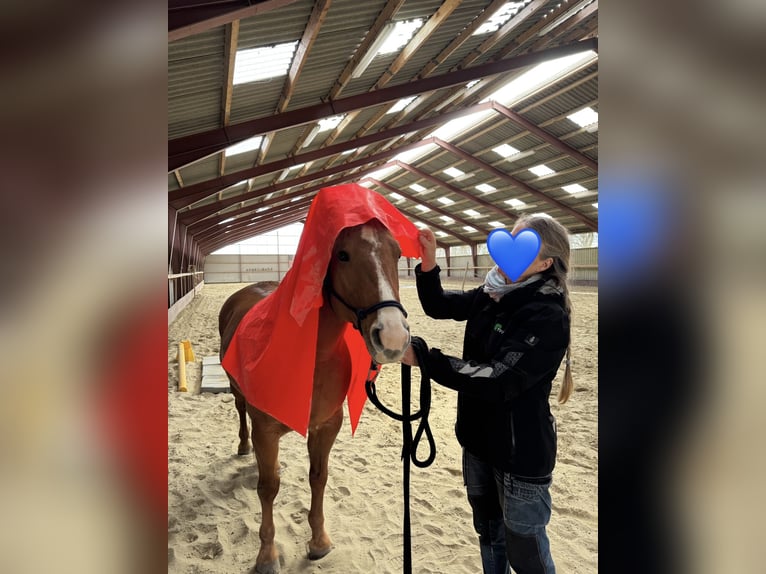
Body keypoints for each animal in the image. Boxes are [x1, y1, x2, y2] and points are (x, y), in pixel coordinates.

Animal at [218, 219, 410, 574]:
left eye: (398, 253)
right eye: (343, 255)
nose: (392, 336)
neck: (312, 357)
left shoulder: (327, 425)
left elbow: (318, 478)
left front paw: (319, 541)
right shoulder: (265, 430)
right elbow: (268, 488)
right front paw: (267, 555)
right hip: (238, 394)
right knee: (240, 412)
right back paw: (243, 446)